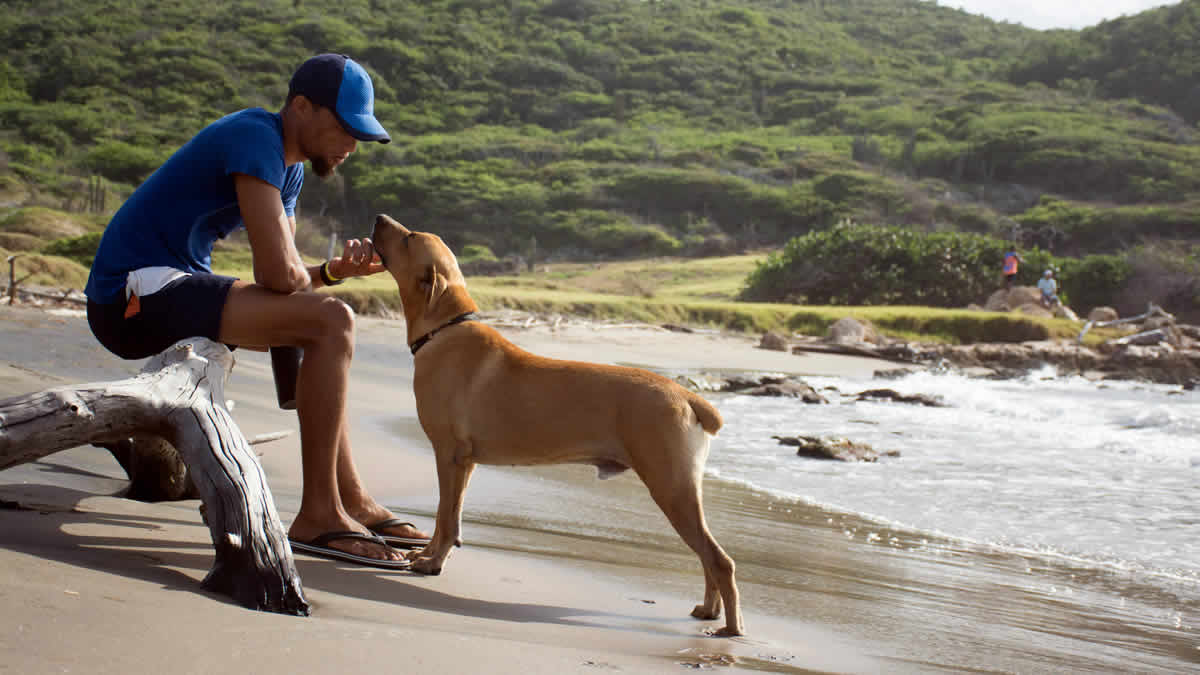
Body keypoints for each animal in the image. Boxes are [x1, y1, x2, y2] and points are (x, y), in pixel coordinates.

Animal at [372, 212, 739, 634]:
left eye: (410, 238)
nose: (379, 217)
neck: (444, 328)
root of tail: (688, 396)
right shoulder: (464, 463)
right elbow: (447, 516)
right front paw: (431, 555)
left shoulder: (449, 456)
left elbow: (445, 517)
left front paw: (432, 562)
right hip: (683, 490)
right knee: (708, 557)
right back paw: (708, 610)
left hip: (671, 487)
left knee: (719, 559)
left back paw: (730, 628)